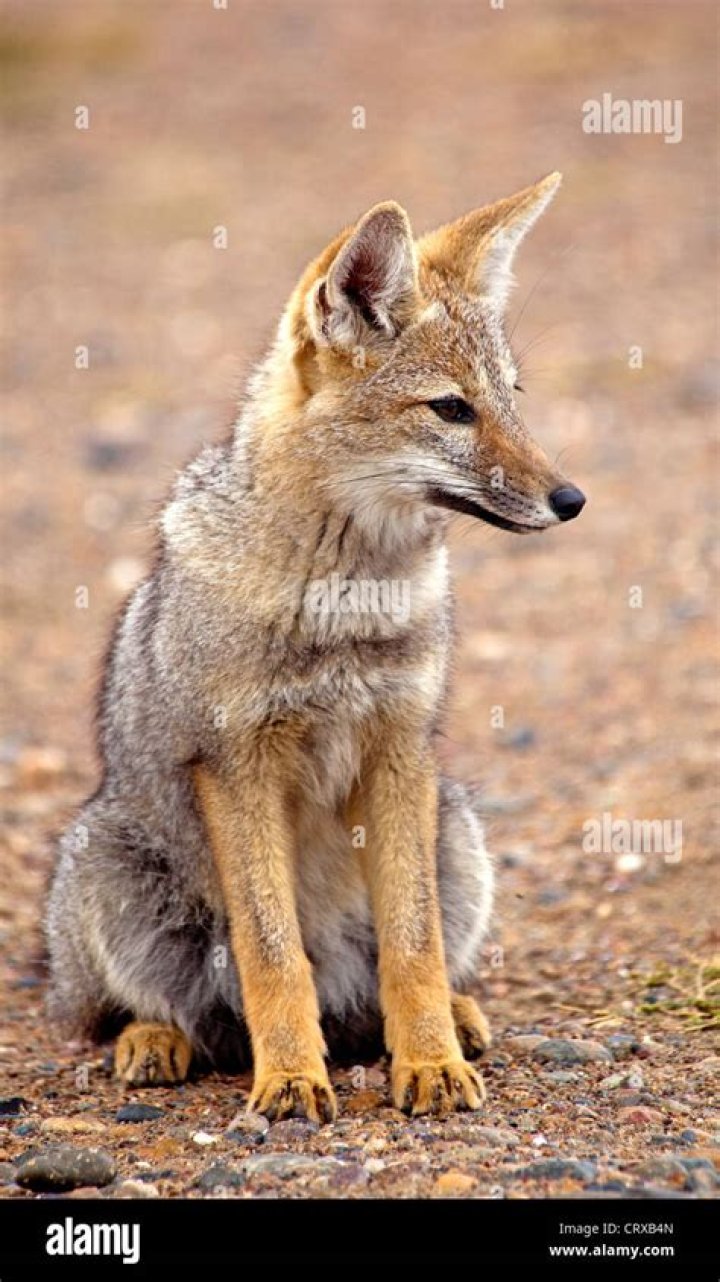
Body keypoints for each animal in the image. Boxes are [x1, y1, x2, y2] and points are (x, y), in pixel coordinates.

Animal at [46, 172, 585, 1122]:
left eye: (514, 397)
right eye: (452, 409)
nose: (572, 499)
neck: (344, 608)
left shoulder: (401, 748)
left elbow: (413, 945)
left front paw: (430, 1062)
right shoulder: (237, 764)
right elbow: (270, 952)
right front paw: (292, 1078)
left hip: (455, 829)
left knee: (390, 977)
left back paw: (455, 1015)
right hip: (112, 872)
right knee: (133, 1013)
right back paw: (155, 1040)